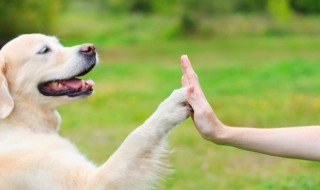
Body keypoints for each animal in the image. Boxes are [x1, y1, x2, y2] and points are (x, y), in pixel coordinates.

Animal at [0, 34, 190, 190]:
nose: (91, 48)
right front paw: (172, 106)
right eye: (44, 50)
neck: (22, 122)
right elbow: (136, 137)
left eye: (59, 43)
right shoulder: (91, 182)